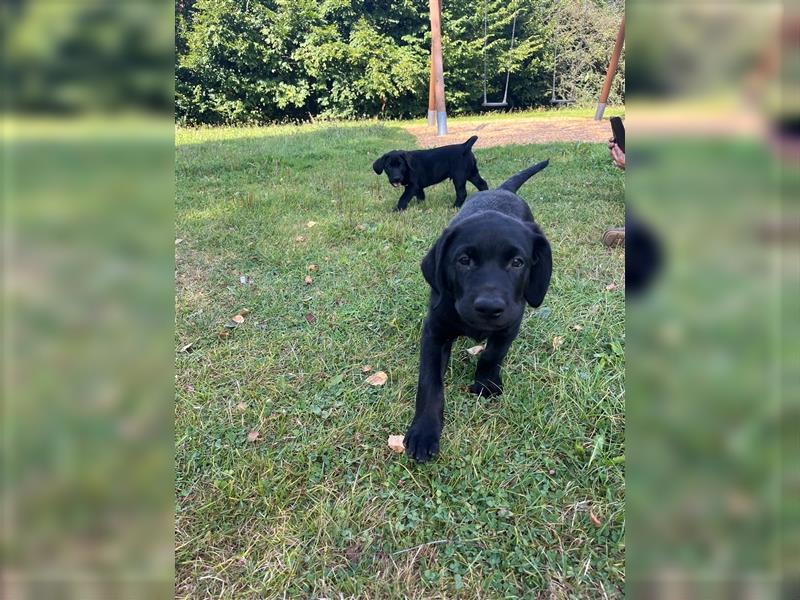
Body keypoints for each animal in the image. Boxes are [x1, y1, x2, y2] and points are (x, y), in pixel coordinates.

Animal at [404, 158, 552, 460]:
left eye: (517, 262)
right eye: (464, 260)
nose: (489, 307)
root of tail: (501, 190)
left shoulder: (510, 324)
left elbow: (493, 354)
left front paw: (485, 383)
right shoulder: (434, 331)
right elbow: (429, 382)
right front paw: (424, 431)